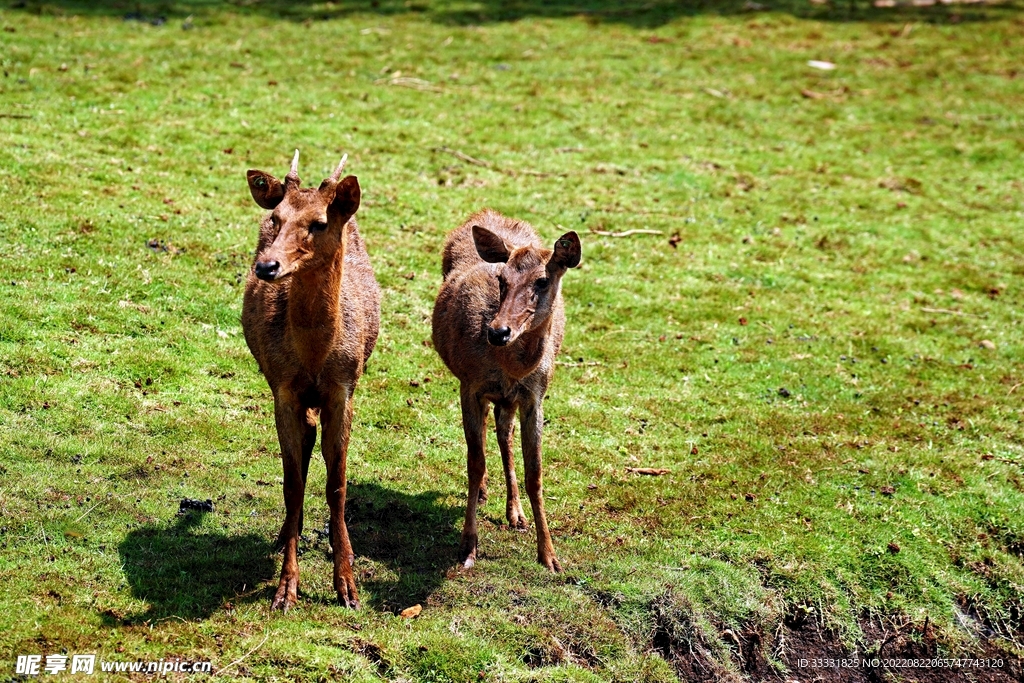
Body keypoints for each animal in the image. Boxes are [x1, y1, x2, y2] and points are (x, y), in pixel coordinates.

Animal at [241, 150, 380, 611]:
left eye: (319, 222)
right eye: (277, 218)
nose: (267, 266)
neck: (315, 358)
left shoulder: (343, 389)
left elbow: (337, 483)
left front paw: (347, 585)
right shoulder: (283, 389)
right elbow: (292, 482)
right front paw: (286, 589)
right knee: (303, 446)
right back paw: (290, 531)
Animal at [431, 209, 581, 573]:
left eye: (542, 280)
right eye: (502, 279)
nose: (497, 331)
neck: (511, 368)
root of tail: (487, 213)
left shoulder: (534, 397)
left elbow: (535, 473)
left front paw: (550, 556)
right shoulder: (470, 385)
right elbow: (475, 463)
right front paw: (467, 547)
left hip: (509, 400)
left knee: (503, 433)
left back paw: (516, 513)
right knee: (489, 435)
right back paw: (488, 495)